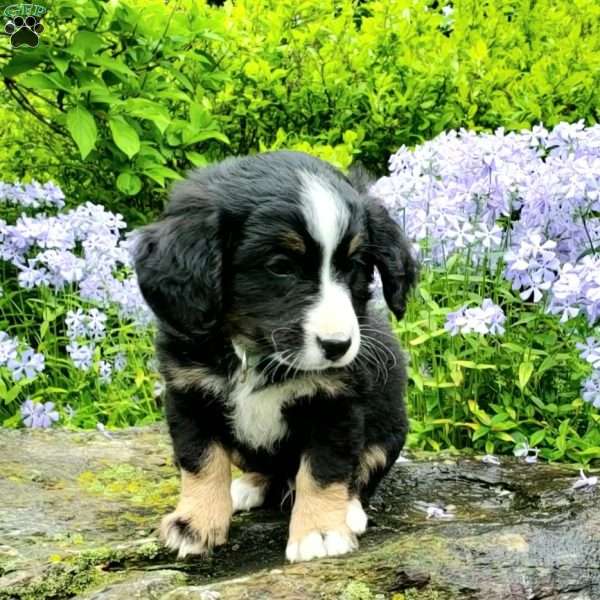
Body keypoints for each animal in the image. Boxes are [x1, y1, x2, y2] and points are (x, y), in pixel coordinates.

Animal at [134, 150, 418, 564]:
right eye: (280, 267)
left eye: (354, 266)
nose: (338, 346)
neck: (257, 354)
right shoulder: (189, 393)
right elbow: (200, 461)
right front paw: (195, 525)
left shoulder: (336, 402)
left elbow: (324, 469)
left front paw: (318, 532)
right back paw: (248, 486)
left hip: (390, 426)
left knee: (363, 470)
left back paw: (349, 510)